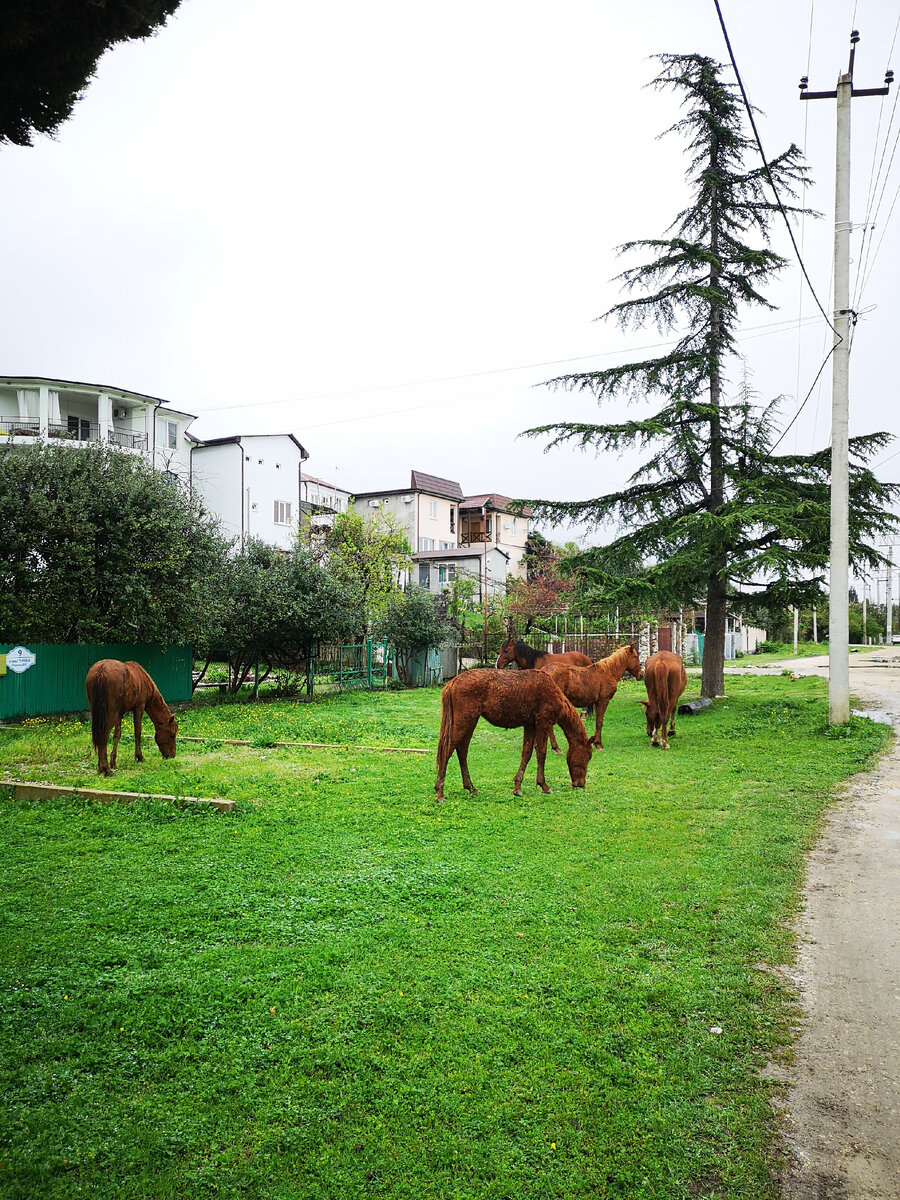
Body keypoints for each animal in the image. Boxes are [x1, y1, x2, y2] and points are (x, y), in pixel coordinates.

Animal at [434, 672, 595, 801]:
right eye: (588, 756)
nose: (580, 784)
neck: (556, 696)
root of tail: (451, 683)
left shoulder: (530, 724)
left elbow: (527, 753)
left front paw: (517, 787)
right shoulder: (543, 722)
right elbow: (541, 753)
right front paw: (544, 785)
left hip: (471, 721)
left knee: (462, 751)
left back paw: (471, 788)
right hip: (465, 720)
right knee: (448, 751)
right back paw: (440, 793)